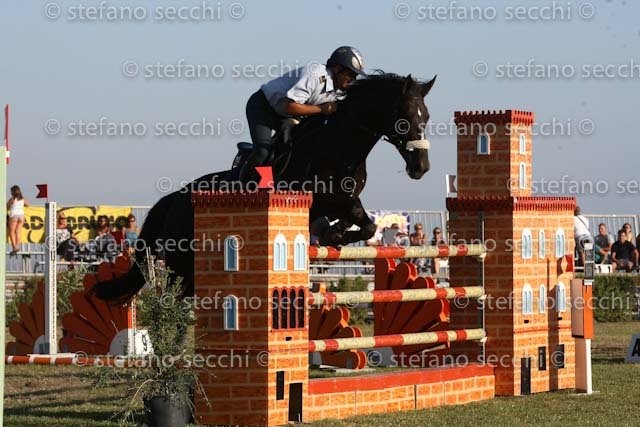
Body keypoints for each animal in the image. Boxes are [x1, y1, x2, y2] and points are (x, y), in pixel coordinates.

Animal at [94, 72, 436, 303]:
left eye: (427, 116)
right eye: (404, 117)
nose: (421, 168)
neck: (338, 145)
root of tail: (173, 199)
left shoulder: (348, 200)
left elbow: (366, 226)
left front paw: (337, 233)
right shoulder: (316, 198)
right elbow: (339, 219)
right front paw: (333, 233)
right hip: (181, 263)